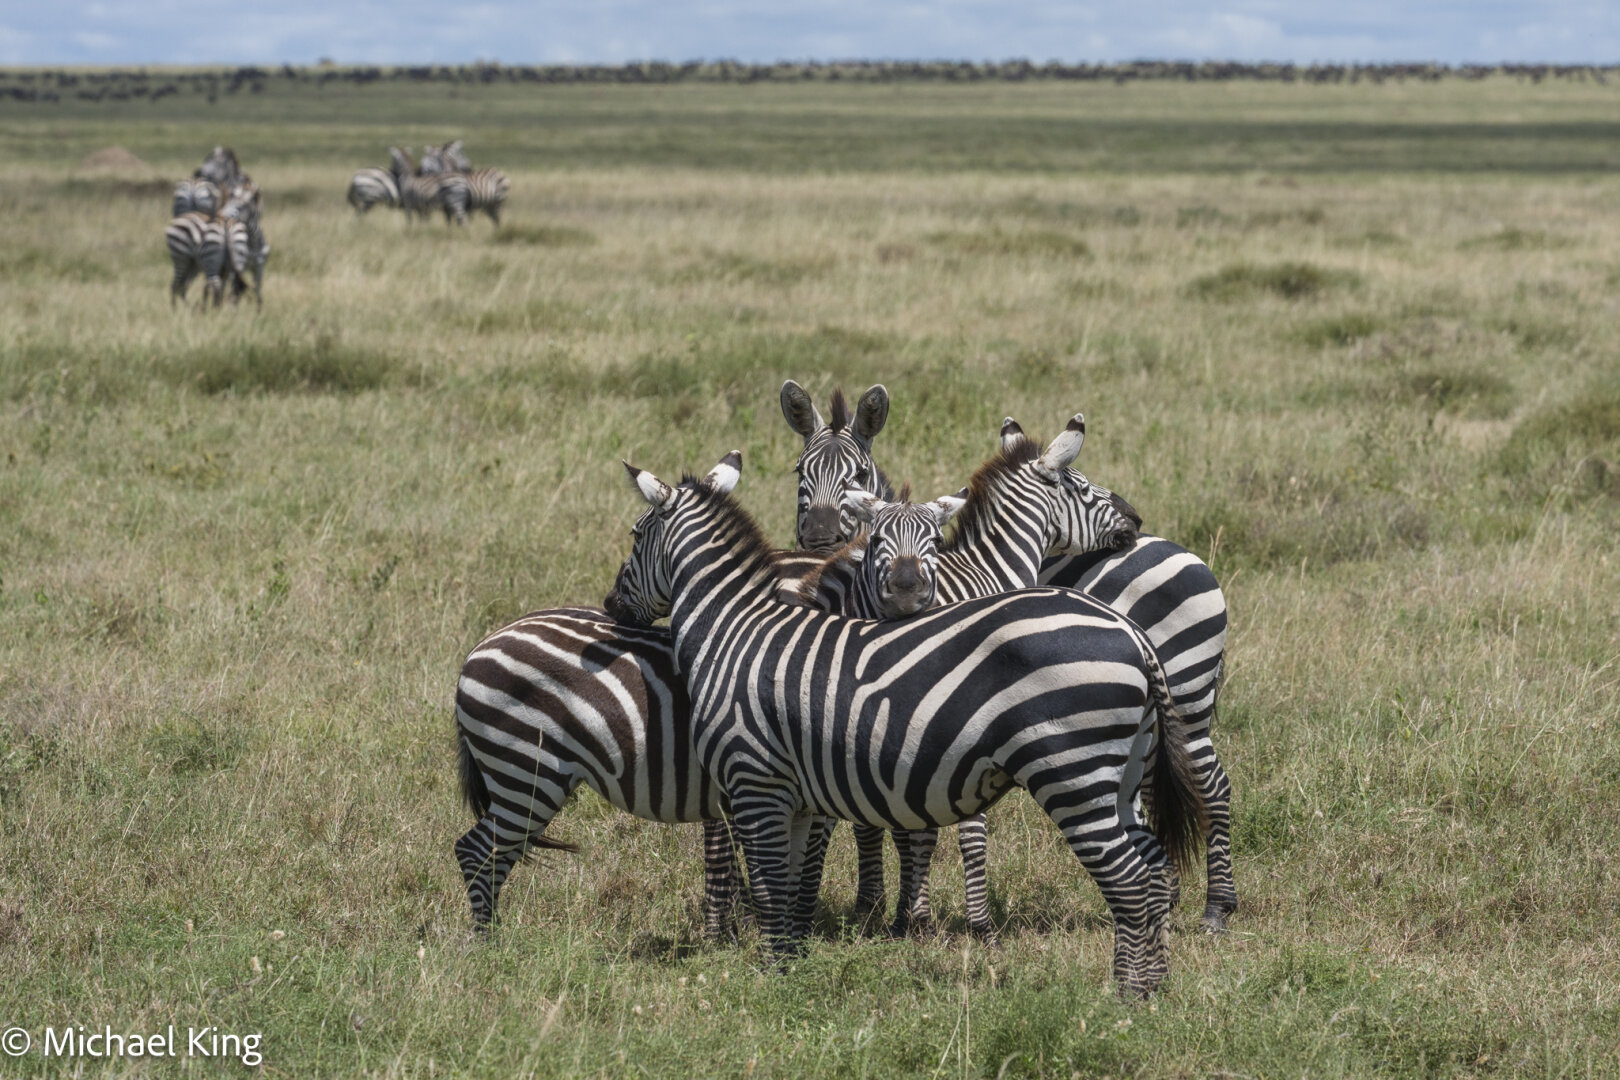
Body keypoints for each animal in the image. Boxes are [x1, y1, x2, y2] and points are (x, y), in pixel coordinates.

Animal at [604, 451, 1206, 996]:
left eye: (635, 535)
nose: (611, 607)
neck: (733, 629)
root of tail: (1130, 631)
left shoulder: (756, 779)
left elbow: (775, 885)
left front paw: (772, 982)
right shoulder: (794, 795)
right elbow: (792, 881)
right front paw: (792, 965)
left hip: (1073, 769)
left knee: (1129, 878)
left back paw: (1125, 998)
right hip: (1121, 773)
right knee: (1155, 869)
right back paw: (1156, 988)